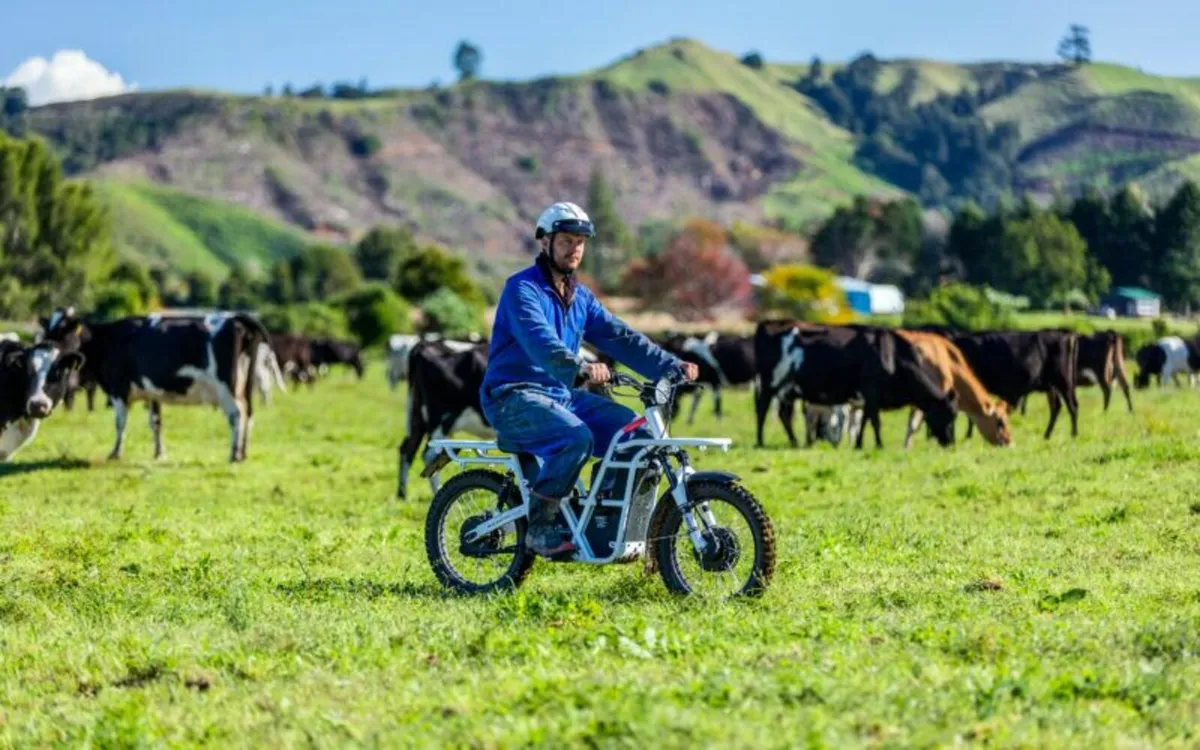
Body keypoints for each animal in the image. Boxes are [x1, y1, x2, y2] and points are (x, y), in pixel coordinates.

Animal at [43, 306, 271, 458]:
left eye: (62, 330)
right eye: (48, 329)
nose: (46, 346)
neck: (107, 340)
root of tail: (235, 318)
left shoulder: (118, 388)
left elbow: (120, 422)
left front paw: (115, 452)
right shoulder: (152, 392)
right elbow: (156, 422)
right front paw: (159, 453)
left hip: (227, 386)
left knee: (237, 415)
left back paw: (234, 454)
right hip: (244, 385)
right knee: (249, 414)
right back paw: (243, 452)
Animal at [950, 328, 1084, 439]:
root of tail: (1066, 334)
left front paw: (968, 435)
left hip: (1064, 382)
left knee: (1072, 406)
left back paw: (1073, 434)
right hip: (1052, 386)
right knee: (1056, 407)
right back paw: (1047, 435)